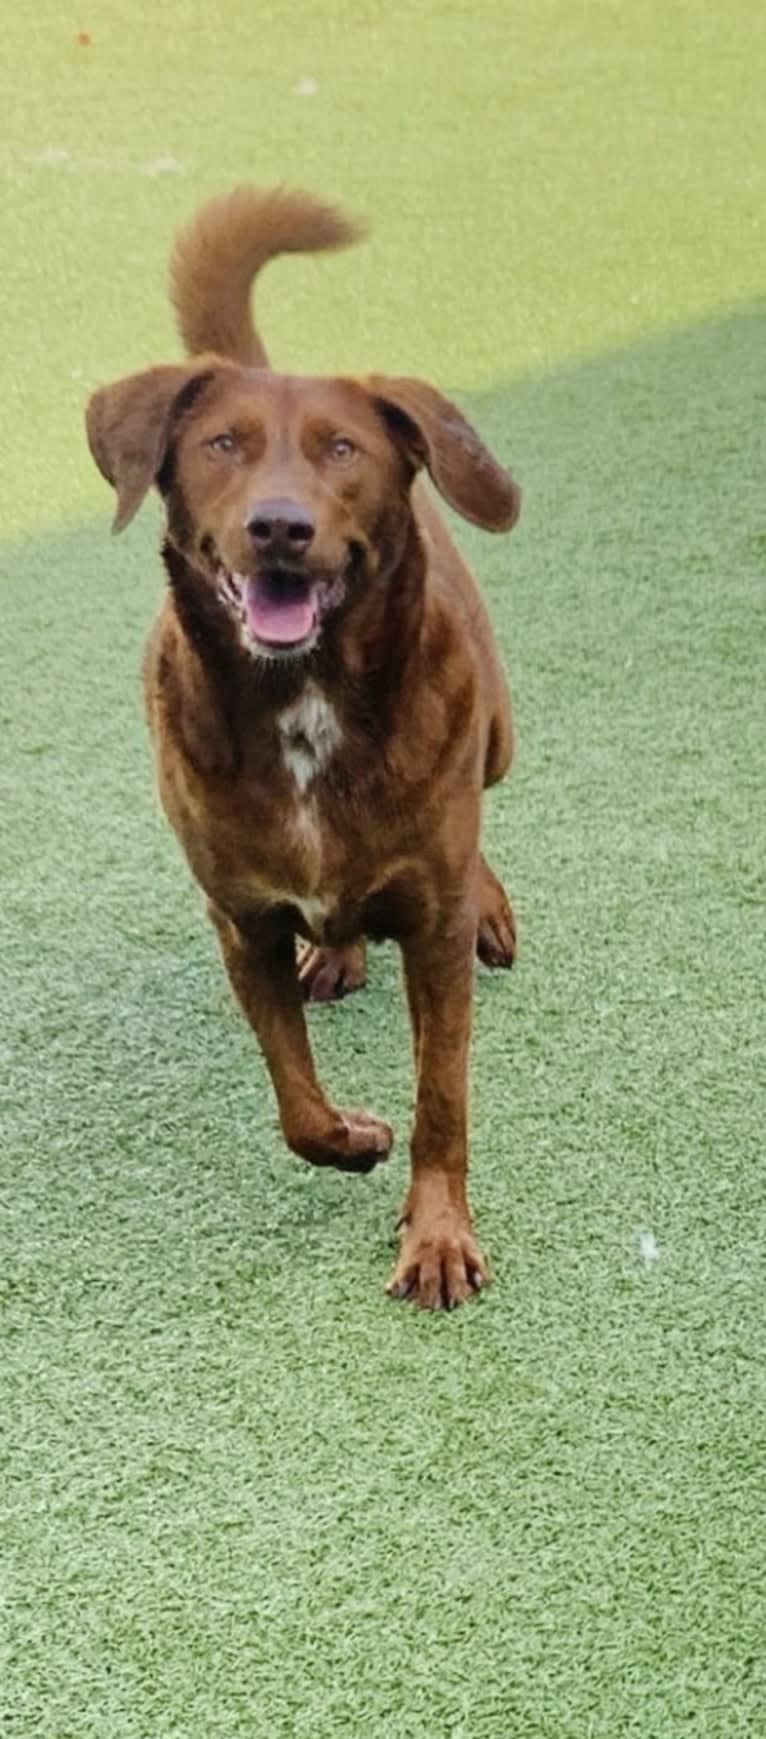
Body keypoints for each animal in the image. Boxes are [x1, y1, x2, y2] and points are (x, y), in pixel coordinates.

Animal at [88, 186, 522, 1307]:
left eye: (340, 450)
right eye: (221, 445)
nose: (278, 527)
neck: (305, 708)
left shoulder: (432, 924)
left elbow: (442, 1094)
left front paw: (437, 1233)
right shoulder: (240, 922)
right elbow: (293, 1102)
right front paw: (353, 1139)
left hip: (496, 733)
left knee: (482, 817)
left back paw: (489, 906)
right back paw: (338, 948)